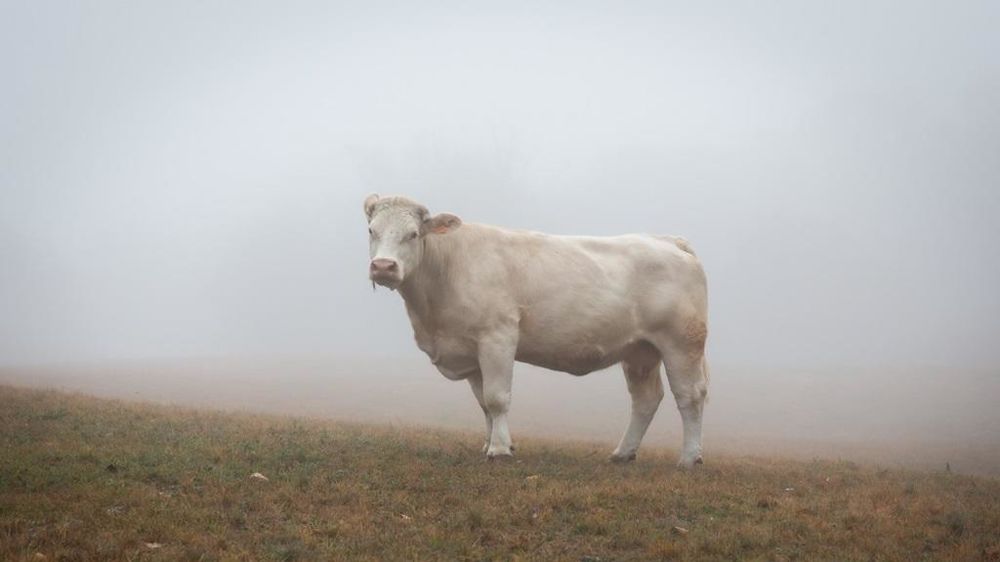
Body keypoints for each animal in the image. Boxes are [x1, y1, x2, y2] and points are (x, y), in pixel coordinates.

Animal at [363, 194, 709, 467]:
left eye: (412, 234)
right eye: (371, 230)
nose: (383, 266)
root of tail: (667, 240)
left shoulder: (497, 336)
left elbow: (497, 398)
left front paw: (500, 450)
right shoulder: (469, 350)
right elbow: (483, 403)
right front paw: (489, 444)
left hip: (682, 342)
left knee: (690, 395)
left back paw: (689, 458)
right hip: (639, 349)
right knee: (645, 399)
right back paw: (623, 453)